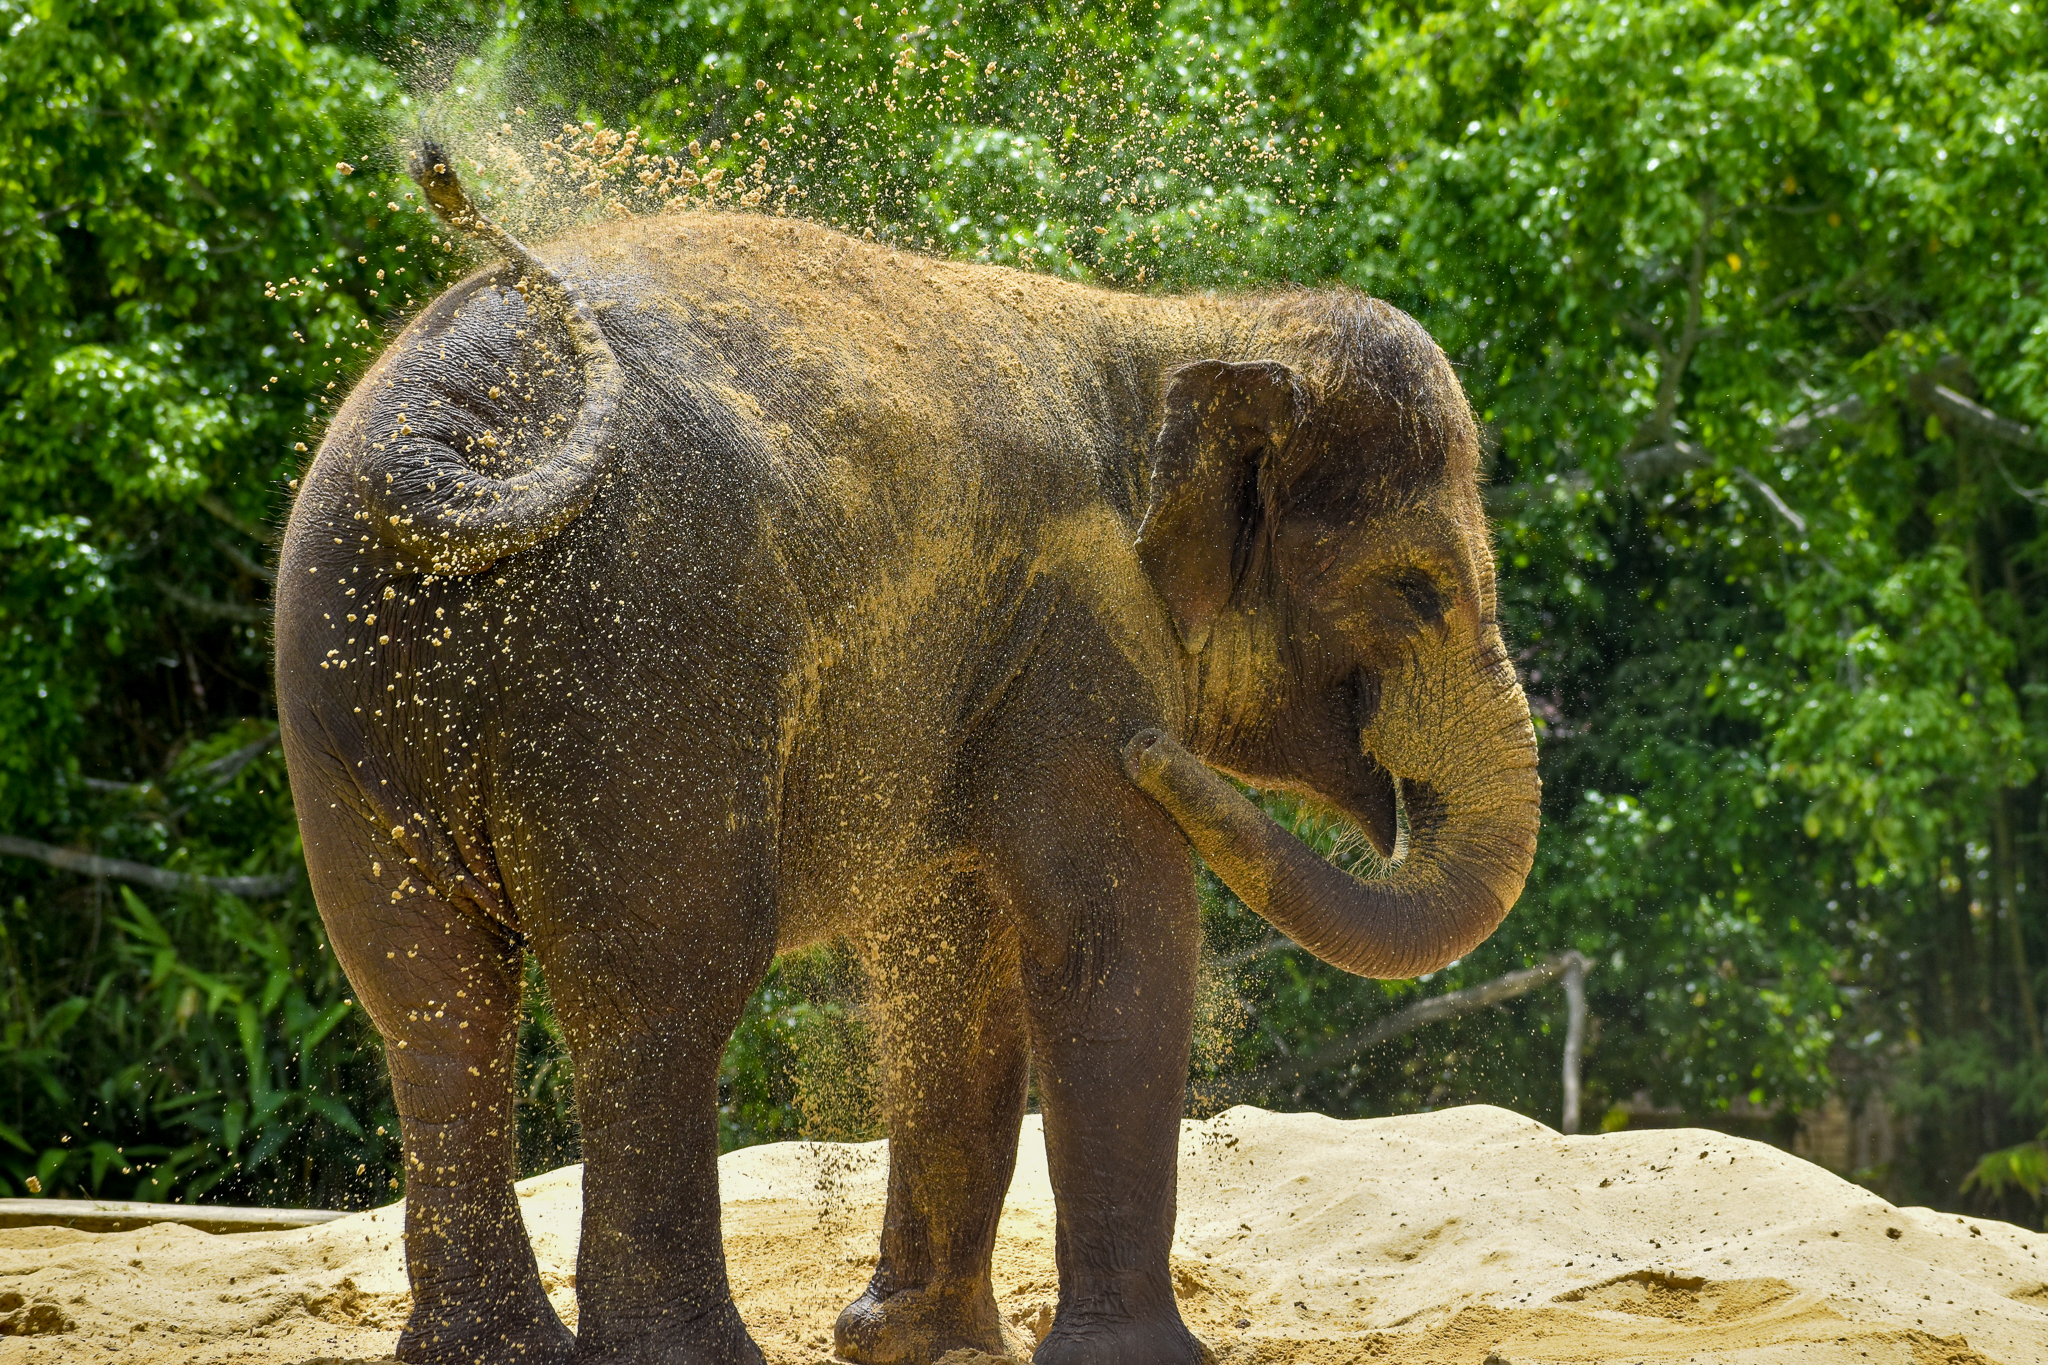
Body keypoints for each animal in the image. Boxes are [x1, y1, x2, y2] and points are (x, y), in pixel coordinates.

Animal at [274, 150, 1538, 1365]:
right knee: (661, 988)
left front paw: (911, 1343)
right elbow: (1110, 931)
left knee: (431, 994)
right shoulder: (1077, 637)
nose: (1155, 750)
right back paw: (687, 1355)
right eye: (1415, 591)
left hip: (345, 684)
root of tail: (448, 444)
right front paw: (1128, 1359)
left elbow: (952, 954)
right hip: (648, 661)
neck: (1183, 333)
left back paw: (489, 1349)